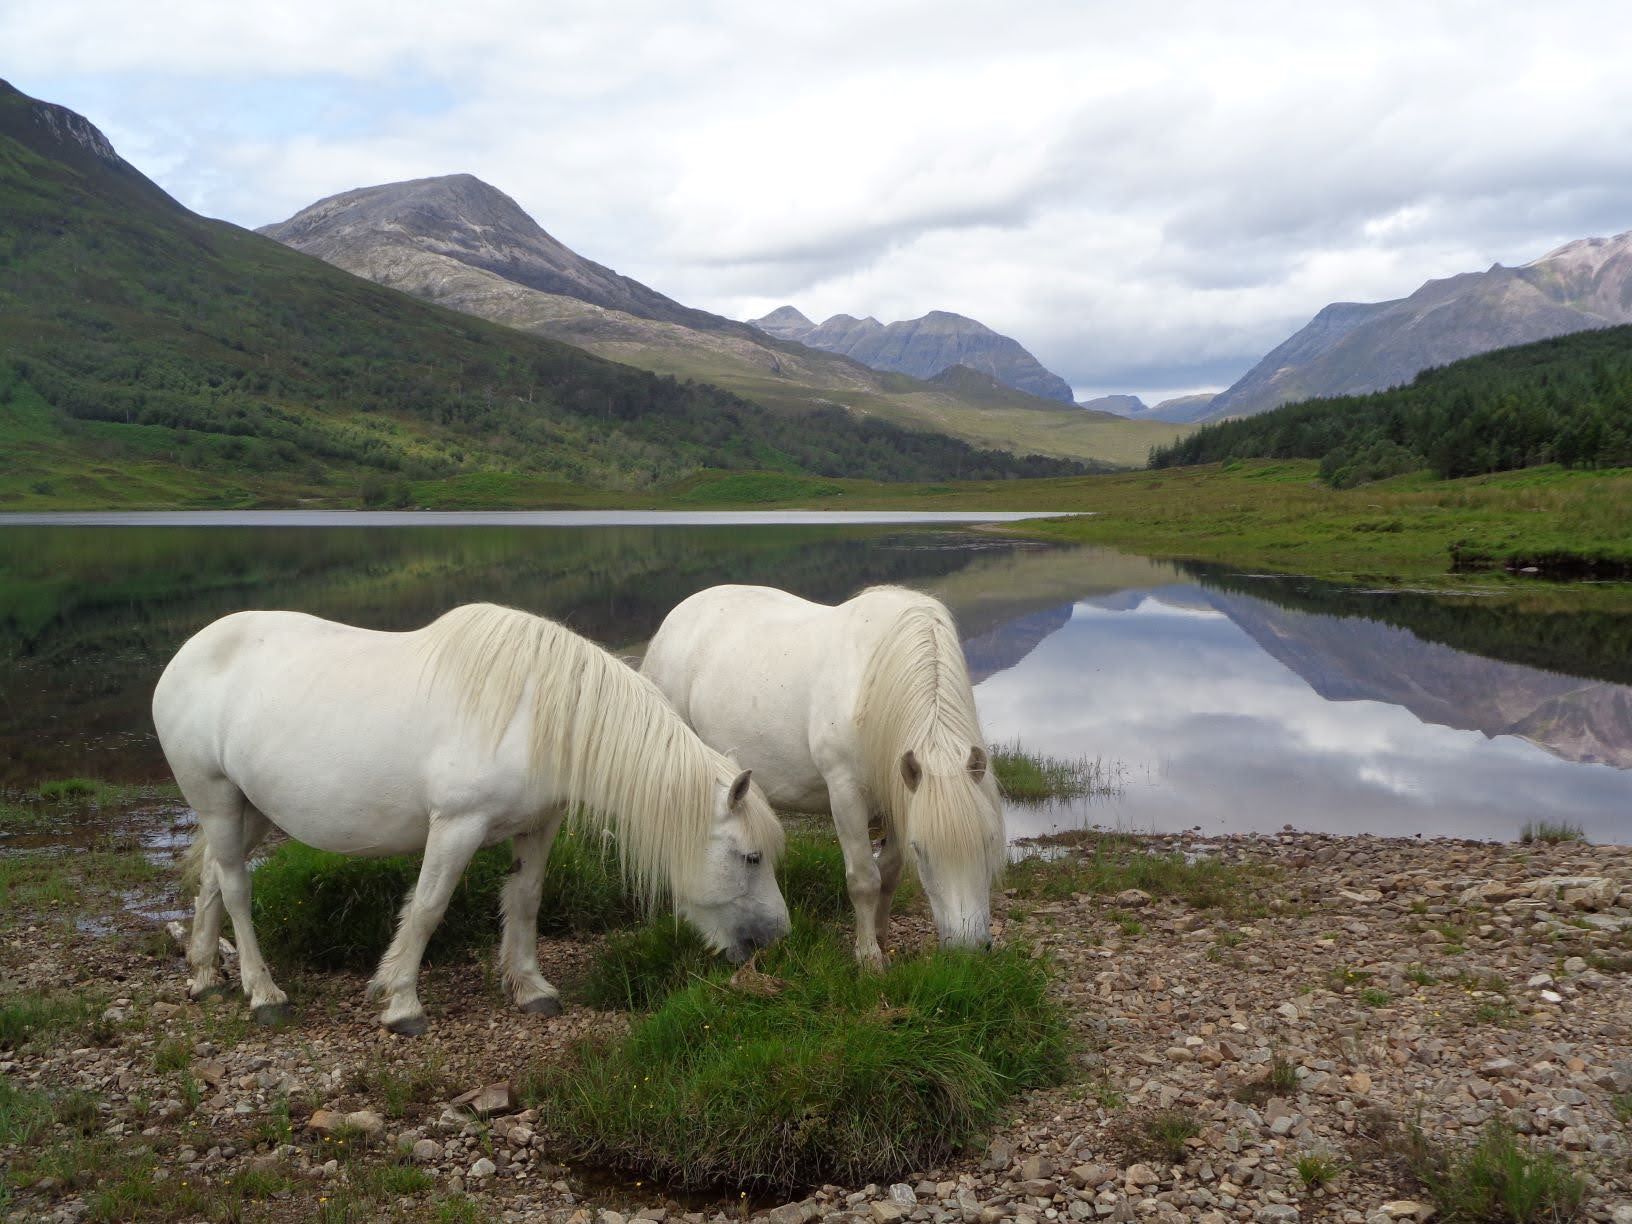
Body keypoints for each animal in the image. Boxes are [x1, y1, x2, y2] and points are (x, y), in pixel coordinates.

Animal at [153, 602, 789, 1034]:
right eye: (750, 857)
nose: (778, 938)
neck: (537, 714)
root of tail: (188, 653)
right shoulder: (457, 826)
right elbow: (428, 908)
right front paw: (402, 1003)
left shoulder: (538, 825)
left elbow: (526, 901)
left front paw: (530, 988)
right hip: (215, 798)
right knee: (237, 888)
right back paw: (264, 994)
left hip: (248, 808)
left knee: (213, 877)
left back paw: (205, 978)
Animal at [641, 584, 1004, 966]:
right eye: (921, 851)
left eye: (989, 840)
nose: (968, 950)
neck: (872, 683)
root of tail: (676, 616)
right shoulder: (846, 794)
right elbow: (864, 878)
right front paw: (868, 956)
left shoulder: (895, 793)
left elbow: (888, 872)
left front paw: (880, 937)